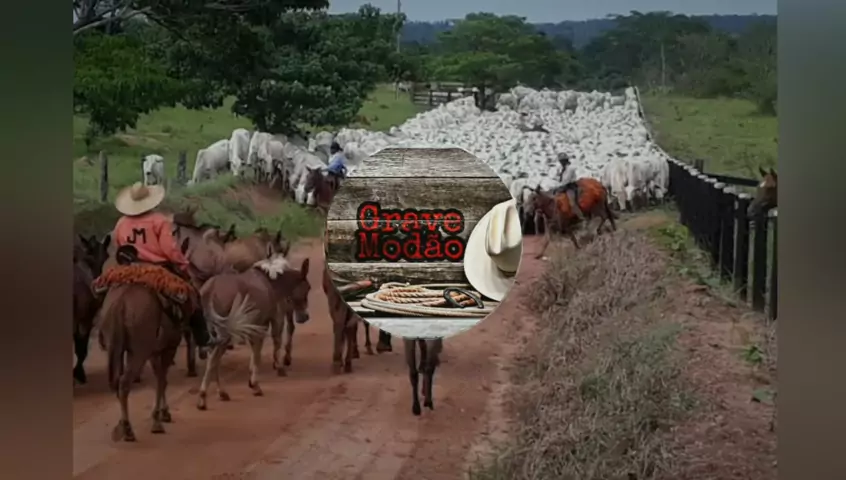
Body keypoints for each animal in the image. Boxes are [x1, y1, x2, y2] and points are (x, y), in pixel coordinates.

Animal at [73, 234, 111, 384]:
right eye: (88, 259)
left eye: (106, 257)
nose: (100, 290)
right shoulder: (82, 320)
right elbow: (80, 348)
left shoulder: (84, 320)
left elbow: (81, 348)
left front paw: (78, 374)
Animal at [96, 238, 211, 441]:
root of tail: (121, 304)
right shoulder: (168, 347)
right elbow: (162, 380)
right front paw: (159, 418)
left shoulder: (154, 350)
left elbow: (160, 378)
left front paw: (162, 413)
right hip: (139, 351)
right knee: (124, 383)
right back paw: (127, 429)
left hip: (117, 347)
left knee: (117, 382)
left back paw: (121, 425)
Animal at [196, 254, 311, 409]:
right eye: (308, 288)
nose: (305, 317)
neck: (271, 283)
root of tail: (209, 289)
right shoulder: (268, 321)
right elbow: (263, 350)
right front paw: (256, 383)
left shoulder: (254, 326)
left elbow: (255, 351)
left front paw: (252, 381)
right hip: (226, 333)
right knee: (213, 361)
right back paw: (203, 398)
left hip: (213, 334)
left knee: (214, 361)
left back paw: (222, 393)